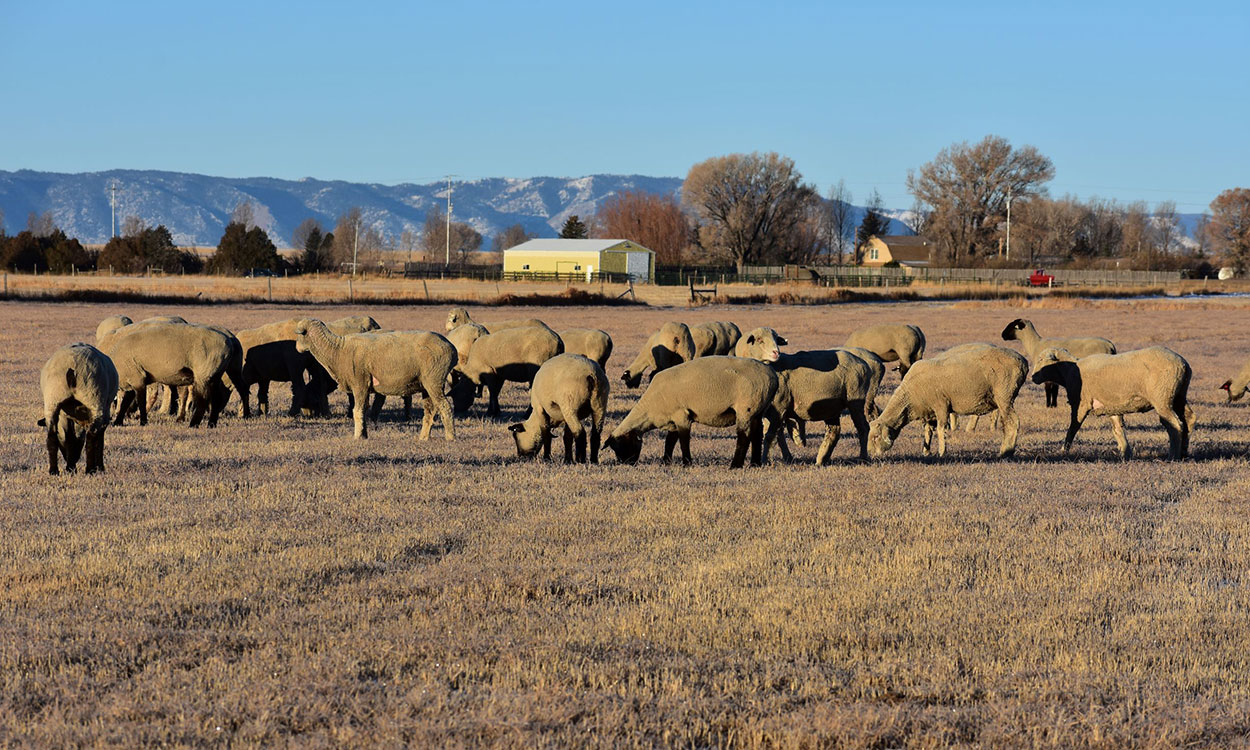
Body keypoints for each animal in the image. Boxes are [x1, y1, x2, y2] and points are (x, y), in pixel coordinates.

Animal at [98, 320, 237, 427]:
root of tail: (228, 344)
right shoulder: (132, 381)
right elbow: (125, 403)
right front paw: (118, 422)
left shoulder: (138, 379)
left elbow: (140, 401)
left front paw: (143, 422)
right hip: (216, 374)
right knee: (216, 397)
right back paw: (211, 424)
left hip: (204, 375)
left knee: (203, 399)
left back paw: (193, 424)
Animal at [295, 316, 457, 440]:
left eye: (300, 335)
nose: (296, 348)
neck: (337, 350)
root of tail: (451, 348)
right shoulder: (364, 386)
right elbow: (364, 410)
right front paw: (364, 435)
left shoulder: (359, 384)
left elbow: (357, 411)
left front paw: (357, 437)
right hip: (426, 384)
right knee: (430, 410)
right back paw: (423, 437)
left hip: (434, 380)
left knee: (445, 406)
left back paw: (450, 437)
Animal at [605, 357, 780, 470]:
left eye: (621, 446)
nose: (627, 464)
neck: (650, 407)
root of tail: (772, 376)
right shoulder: (672, 420)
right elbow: (670, 441)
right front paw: (666, 461)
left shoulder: (682, 415)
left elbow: (683, 441)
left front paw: (686, 463)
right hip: (759, 408)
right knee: (757, 434)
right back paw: (754, 464)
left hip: (746, 408)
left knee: (744, 436)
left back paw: (735, 465)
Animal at [870, 345, 1025, 460]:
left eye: (876, 437)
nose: (871, 456)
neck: (909, 396)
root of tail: (1022, 361)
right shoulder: (929, 412)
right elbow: (928, 431)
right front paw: (926, 452)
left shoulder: (941, 405)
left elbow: (940, 429)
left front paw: (942, 452)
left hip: (1004, 395)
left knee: (1012, 422)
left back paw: (1006, 452)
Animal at [1030, 347, 1195, 462]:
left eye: (1041, 359)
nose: (1032, 377)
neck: (1068, 371)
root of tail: (1183, 364)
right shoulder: (1112, 406)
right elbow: (1118, 430)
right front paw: (1125, 454)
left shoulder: (1080, 404)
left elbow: (1073, 428)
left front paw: (1064, 450)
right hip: (1179, 395)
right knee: (1188, 419)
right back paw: (1184, 453)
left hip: (1162, 398)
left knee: (1175, 424)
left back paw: (1172, 456)